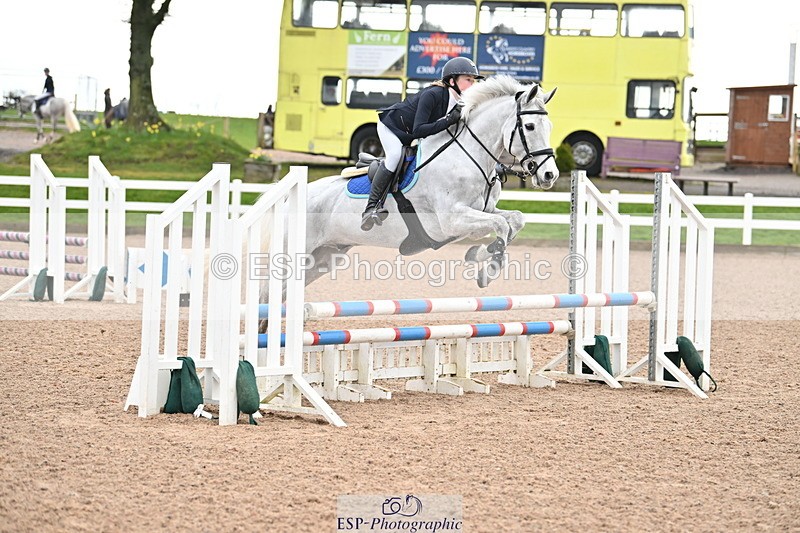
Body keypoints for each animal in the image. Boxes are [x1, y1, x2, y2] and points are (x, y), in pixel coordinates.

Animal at [263, 75, 559, 297]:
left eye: (549, 125)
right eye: (529, 126)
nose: (550, 175)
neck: (469, 155)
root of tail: (289, 198)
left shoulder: (483, 210)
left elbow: (513, 221)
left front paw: (480, 255)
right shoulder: (451, 221)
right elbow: (501, 226)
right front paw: (489, 265)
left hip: (323, 258)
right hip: (294, 256)